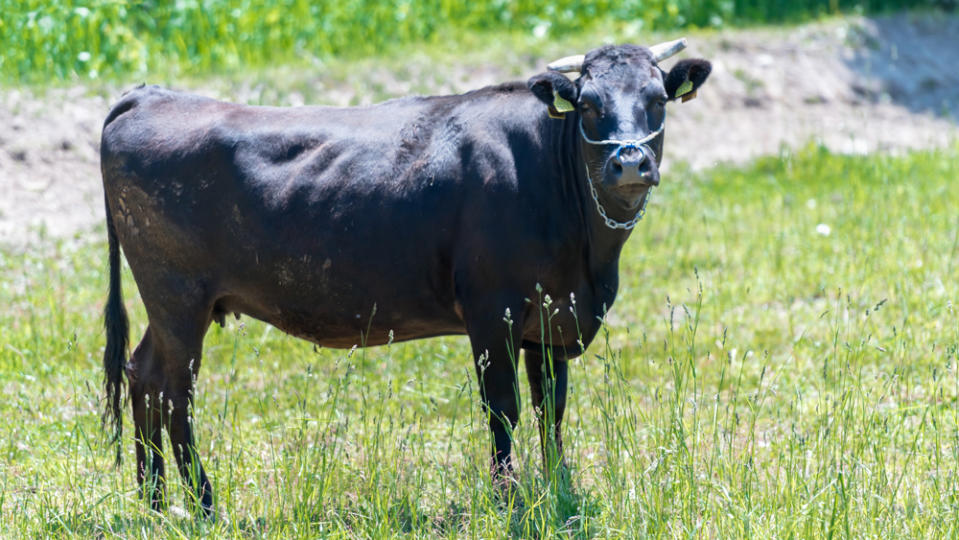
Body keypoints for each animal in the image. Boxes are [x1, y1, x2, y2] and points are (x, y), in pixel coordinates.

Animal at [101, 40, 708, 512]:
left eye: (657, 101)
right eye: (587, 105)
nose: (628, 162)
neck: (590, 260)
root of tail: (151, 95)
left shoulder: (554, 317)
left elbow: (550, 410)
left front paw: (559, 488)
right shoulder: (492, 312)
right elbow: (503, 408)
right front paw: (508, 498)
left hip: (176, 304)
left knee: (144, 375)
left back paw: (155, 501)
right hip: (178, 296)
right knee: (175, 392)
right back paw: (203, 503)